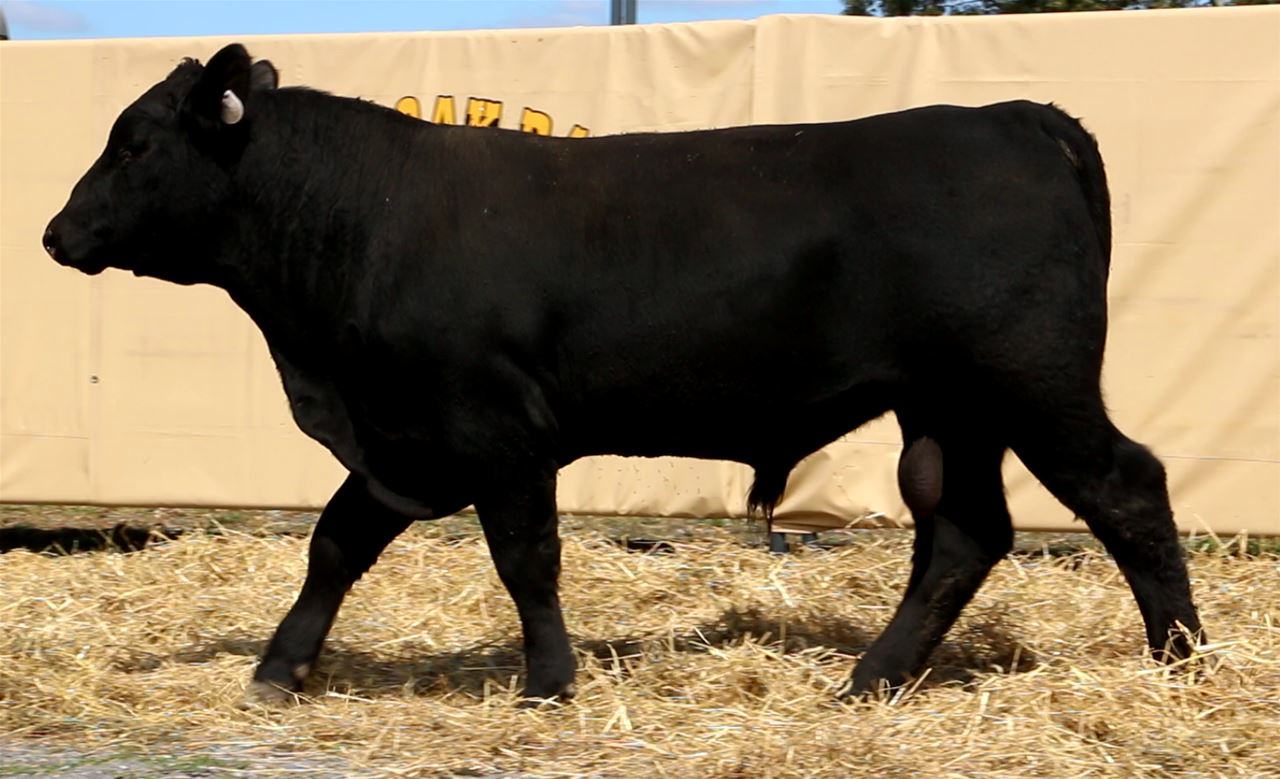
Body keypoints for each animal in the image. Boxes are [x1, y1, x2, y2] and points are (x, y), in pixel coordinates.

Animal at [43, 43, 1202, 703]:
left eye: (135, 141)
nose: (56, 231)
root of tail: (1013, 117)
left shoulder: (494, 429)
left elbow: (526, 559)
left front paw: (548, 682)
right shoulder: (405, 438)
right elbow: (335, 543)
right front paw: (279, 669)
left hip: (1032, 384)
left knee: (1126, 487)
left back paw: (1183, 659)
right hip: (950, 410)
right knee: (962, 532)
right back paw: (871, 678)